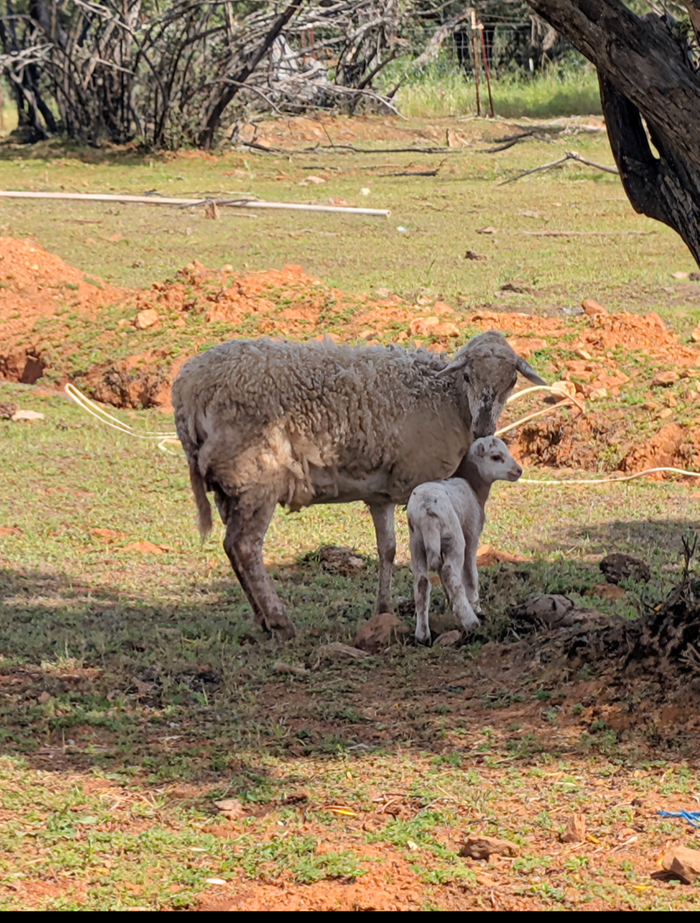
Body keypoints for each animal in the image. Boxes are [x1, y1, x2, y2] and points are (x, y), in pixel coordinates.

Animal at [407, 436, 523, 645]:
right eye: (496, 457)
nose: (519, 471)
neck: (473, 485)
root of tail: (427, 510)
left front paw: (454, 608)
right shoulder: (472, 532)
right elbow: (470, 574)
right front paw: (475, 605)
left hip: (416, 542)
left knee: (421, 582)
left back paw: (422, 634)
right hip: (453, 536)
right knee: (449, 573)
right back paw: (471, 621)